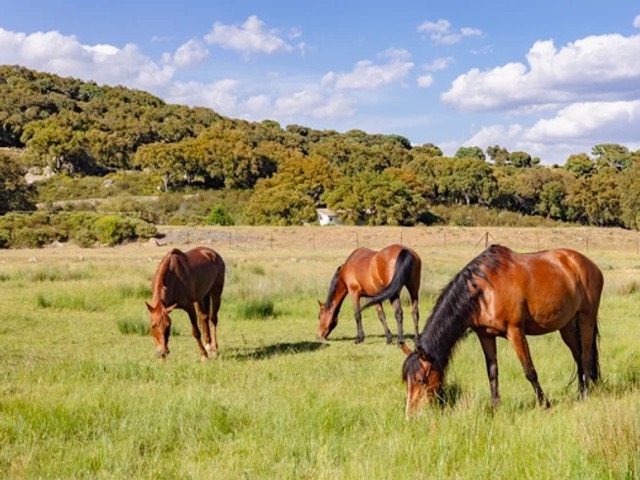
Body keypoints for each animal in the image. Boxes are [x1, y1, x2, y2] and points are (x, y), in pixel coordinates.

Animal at [401, 244, 603, 416]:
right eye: (406, 381)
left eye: (421, 379)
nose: (411, 416)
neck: (483, 292)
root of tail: (589, 264)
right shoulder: (485, 335)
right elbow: (492, 372)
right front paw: (495, 407)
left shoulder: (515, 332)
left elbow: (529, 371)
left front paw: (544, 404)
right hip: (566, 325)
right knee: (577, 355)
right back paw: (580, 393)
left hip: (586, 318)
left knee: (585, 355)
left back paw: (586, 394)